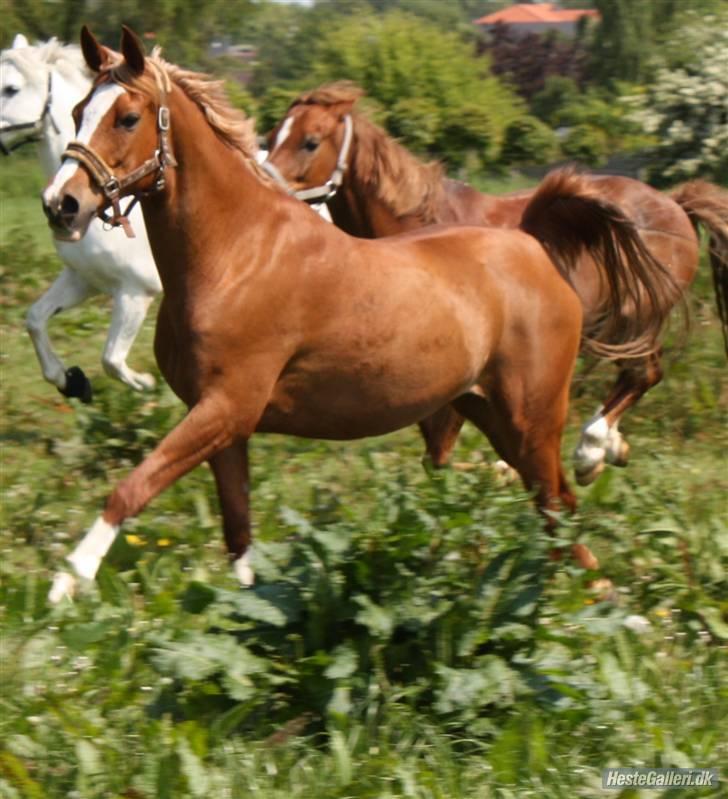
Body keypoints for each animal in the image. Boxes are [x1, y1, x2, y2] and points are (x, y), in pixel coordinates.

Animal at [0, 36, 160, 400]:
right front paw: (71, 381)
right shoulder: (82, 279)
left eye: (11, 89)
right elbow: (35, 319)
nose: (56, 204)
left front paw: (147, 383)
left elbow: (112, 360)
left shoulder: (135, 293)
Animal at [42, 29, 680, 600]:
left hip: (531, 419)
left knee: (559, 503)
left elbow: (131, 489)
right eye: (76, 111)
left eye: (127, 117)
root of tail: (533, 246)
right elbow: (239, 539)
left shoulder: (226, 407)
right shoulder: (225, 425)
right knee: (554, 511)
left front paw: (66, 583)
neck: (237, 255)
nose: (61, 204)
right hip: (489, 414)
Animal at [266, 86, 728, 488]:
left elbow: (442, 457)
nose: (269, 188)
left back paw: (590, 452)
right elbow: (438, 459)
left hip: (631, 321)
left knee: (642, 374)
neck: (416, 228)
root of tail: (674, 204)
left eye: (310, 142)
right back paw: (611, 448)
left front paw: (509, 471)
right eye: (272, 137)